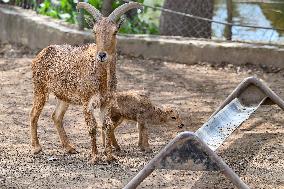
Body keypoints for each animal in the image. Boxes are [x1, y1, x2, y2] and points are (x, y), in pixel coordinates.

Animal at [29, 1, 142, 164]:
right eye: (94, 31)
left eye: (115, 32)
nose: (102, 55)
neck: (102, 79)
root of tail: (42, 53)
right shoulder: (86, 101)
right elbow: (92, 127)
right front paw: (95, 157)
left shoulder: (106, 102)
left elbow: (107, 125)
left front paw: (110, 156)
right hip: (40, 89)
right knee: (33, 114)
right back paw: (37, 147)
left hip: (64, 96)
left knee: (56, 116)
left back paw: (69, 147)